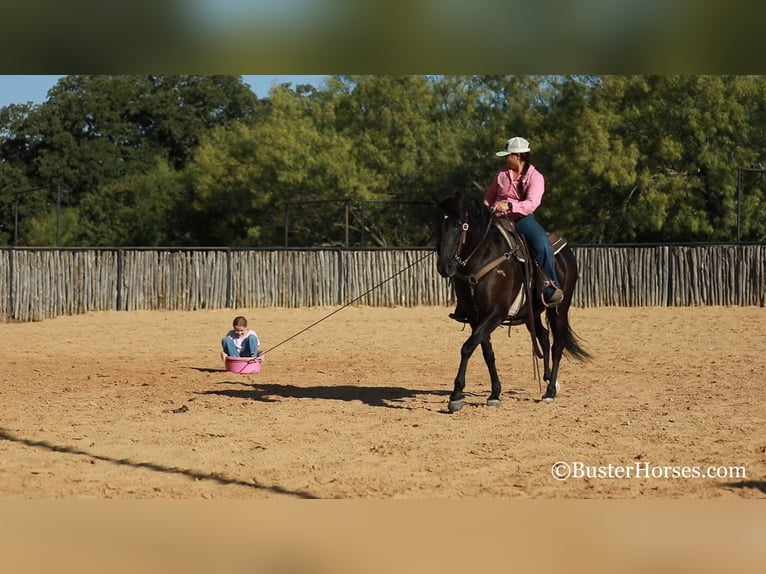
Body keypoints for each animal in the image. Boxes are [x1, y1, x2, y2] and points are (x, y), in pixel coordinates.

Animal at [436, 192, 592, 414]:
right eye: (439, 225)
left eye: (460, 225)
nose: (445, 267)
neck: (483, 259)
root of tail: (566, 251)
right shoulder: (476, 317)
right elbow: (486, 352)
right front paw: (495, 393)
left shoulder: (495, 313)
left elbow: (467, 347)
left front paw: (456, 394)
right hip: (532, 312)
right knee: (543, 336)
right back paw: (547, 379)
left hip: (559, 309)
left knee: (558, 344)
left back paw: (550, 391)